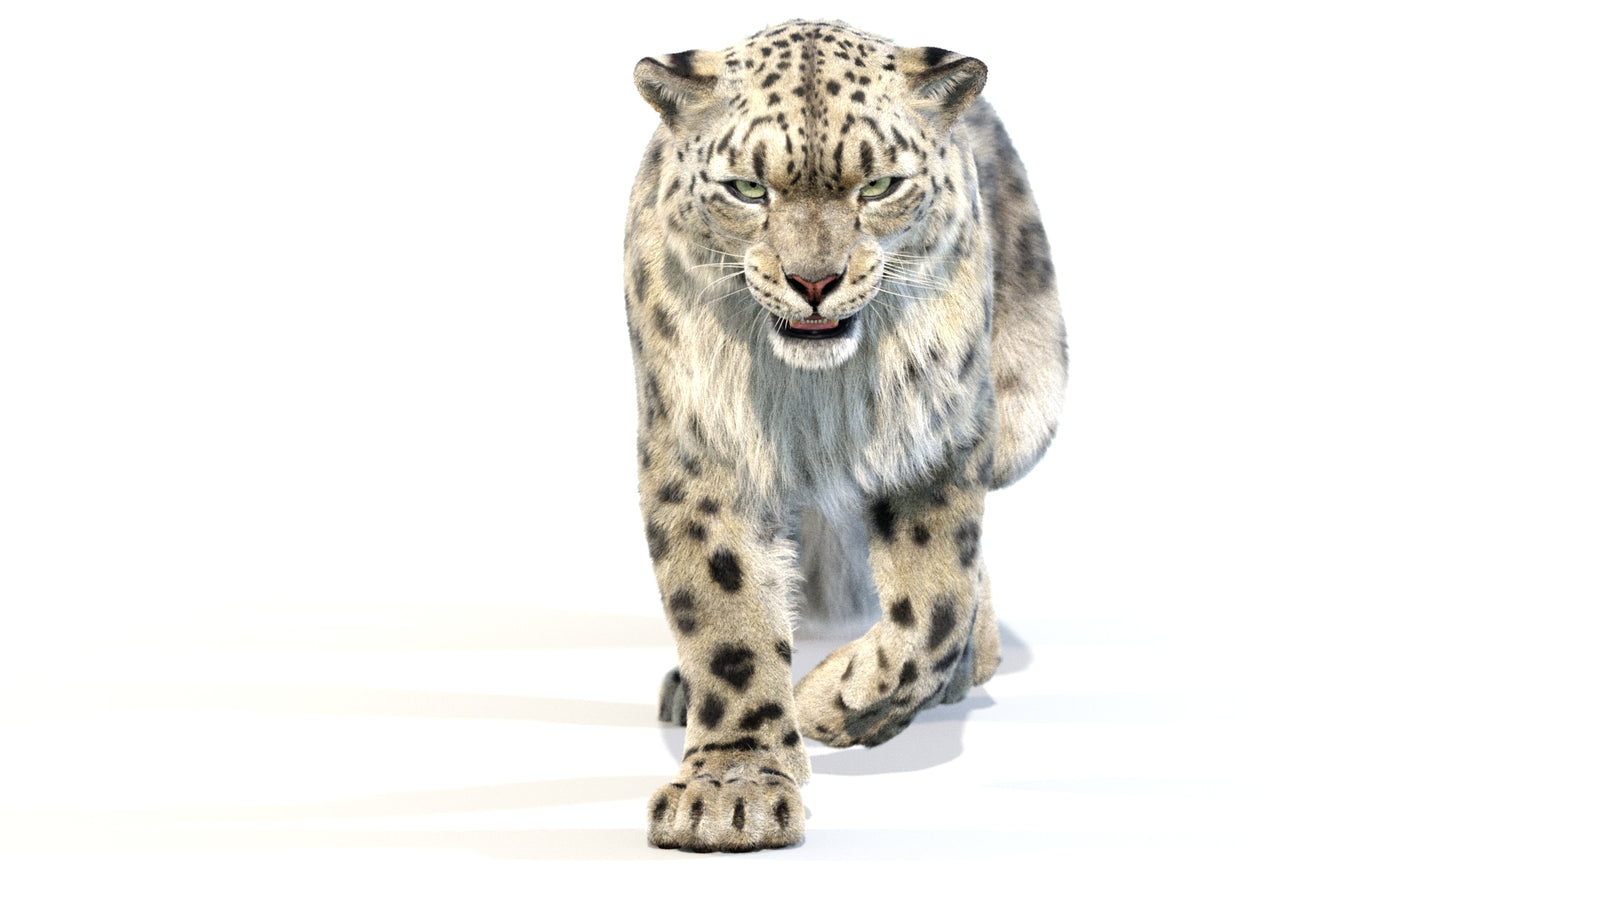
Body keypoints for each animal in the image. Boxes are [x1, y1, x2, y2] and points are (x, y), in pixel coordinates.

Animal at [623, 20, 1067, 851]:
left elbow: (936, 602)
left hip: (1029, 404)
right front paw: (730, 791)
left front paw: (834, 702)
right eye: (747, 188)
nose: (814, 282)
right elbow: (727, 614)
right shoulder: (703, 449)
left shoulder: (937, 437)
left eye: (879, 186)